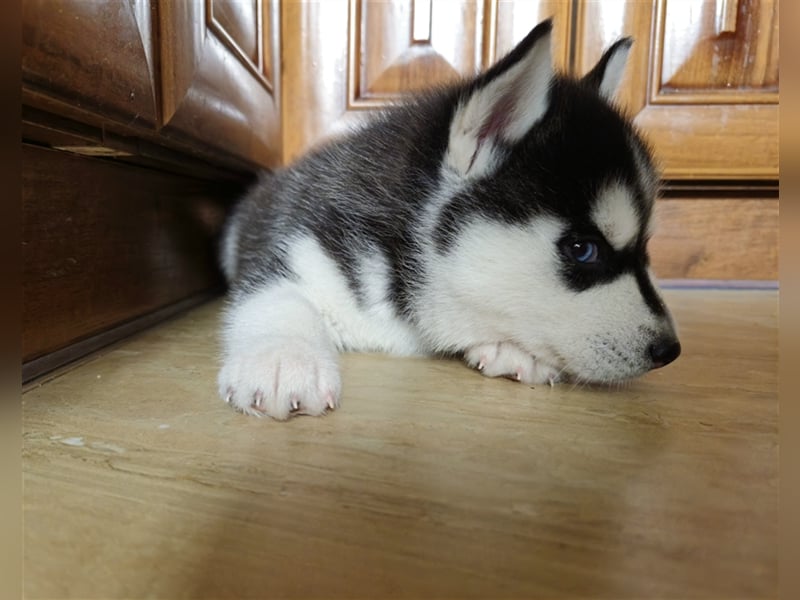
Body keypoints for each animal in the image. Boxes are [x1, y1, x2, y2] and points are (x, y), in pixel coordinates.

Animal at [217, 19, 680, 422]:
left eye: (645, 248)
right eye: (584, 249)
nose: (669, 351)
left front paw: (512, 348)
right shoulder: (301, 244)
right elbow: (276, 298)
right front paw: (282, 358)